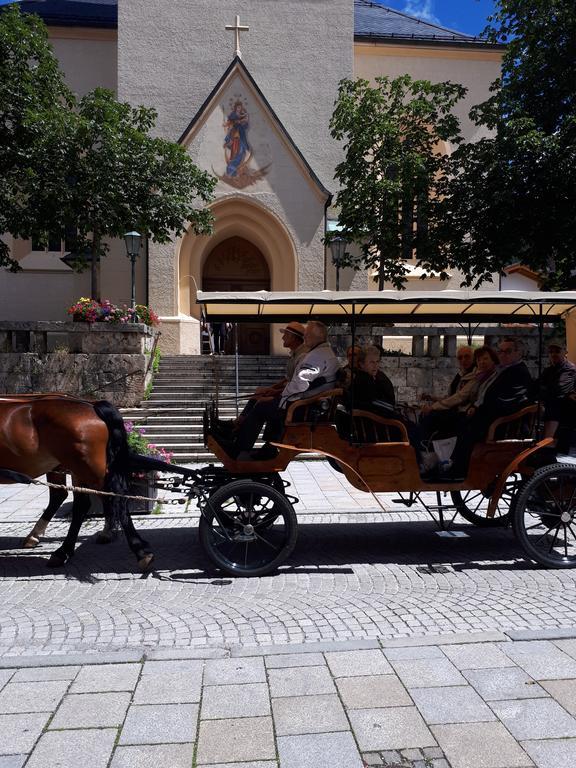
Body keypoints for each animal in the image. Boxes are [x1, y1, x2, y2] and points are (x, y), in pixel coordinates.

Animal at [0, 396, 154, 568]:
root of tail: (92, 406)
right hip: (76, 469)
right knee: (78, 503)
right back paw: (62, 550)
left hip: (87, 468)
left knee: (112, 500)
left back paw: (139, 551)